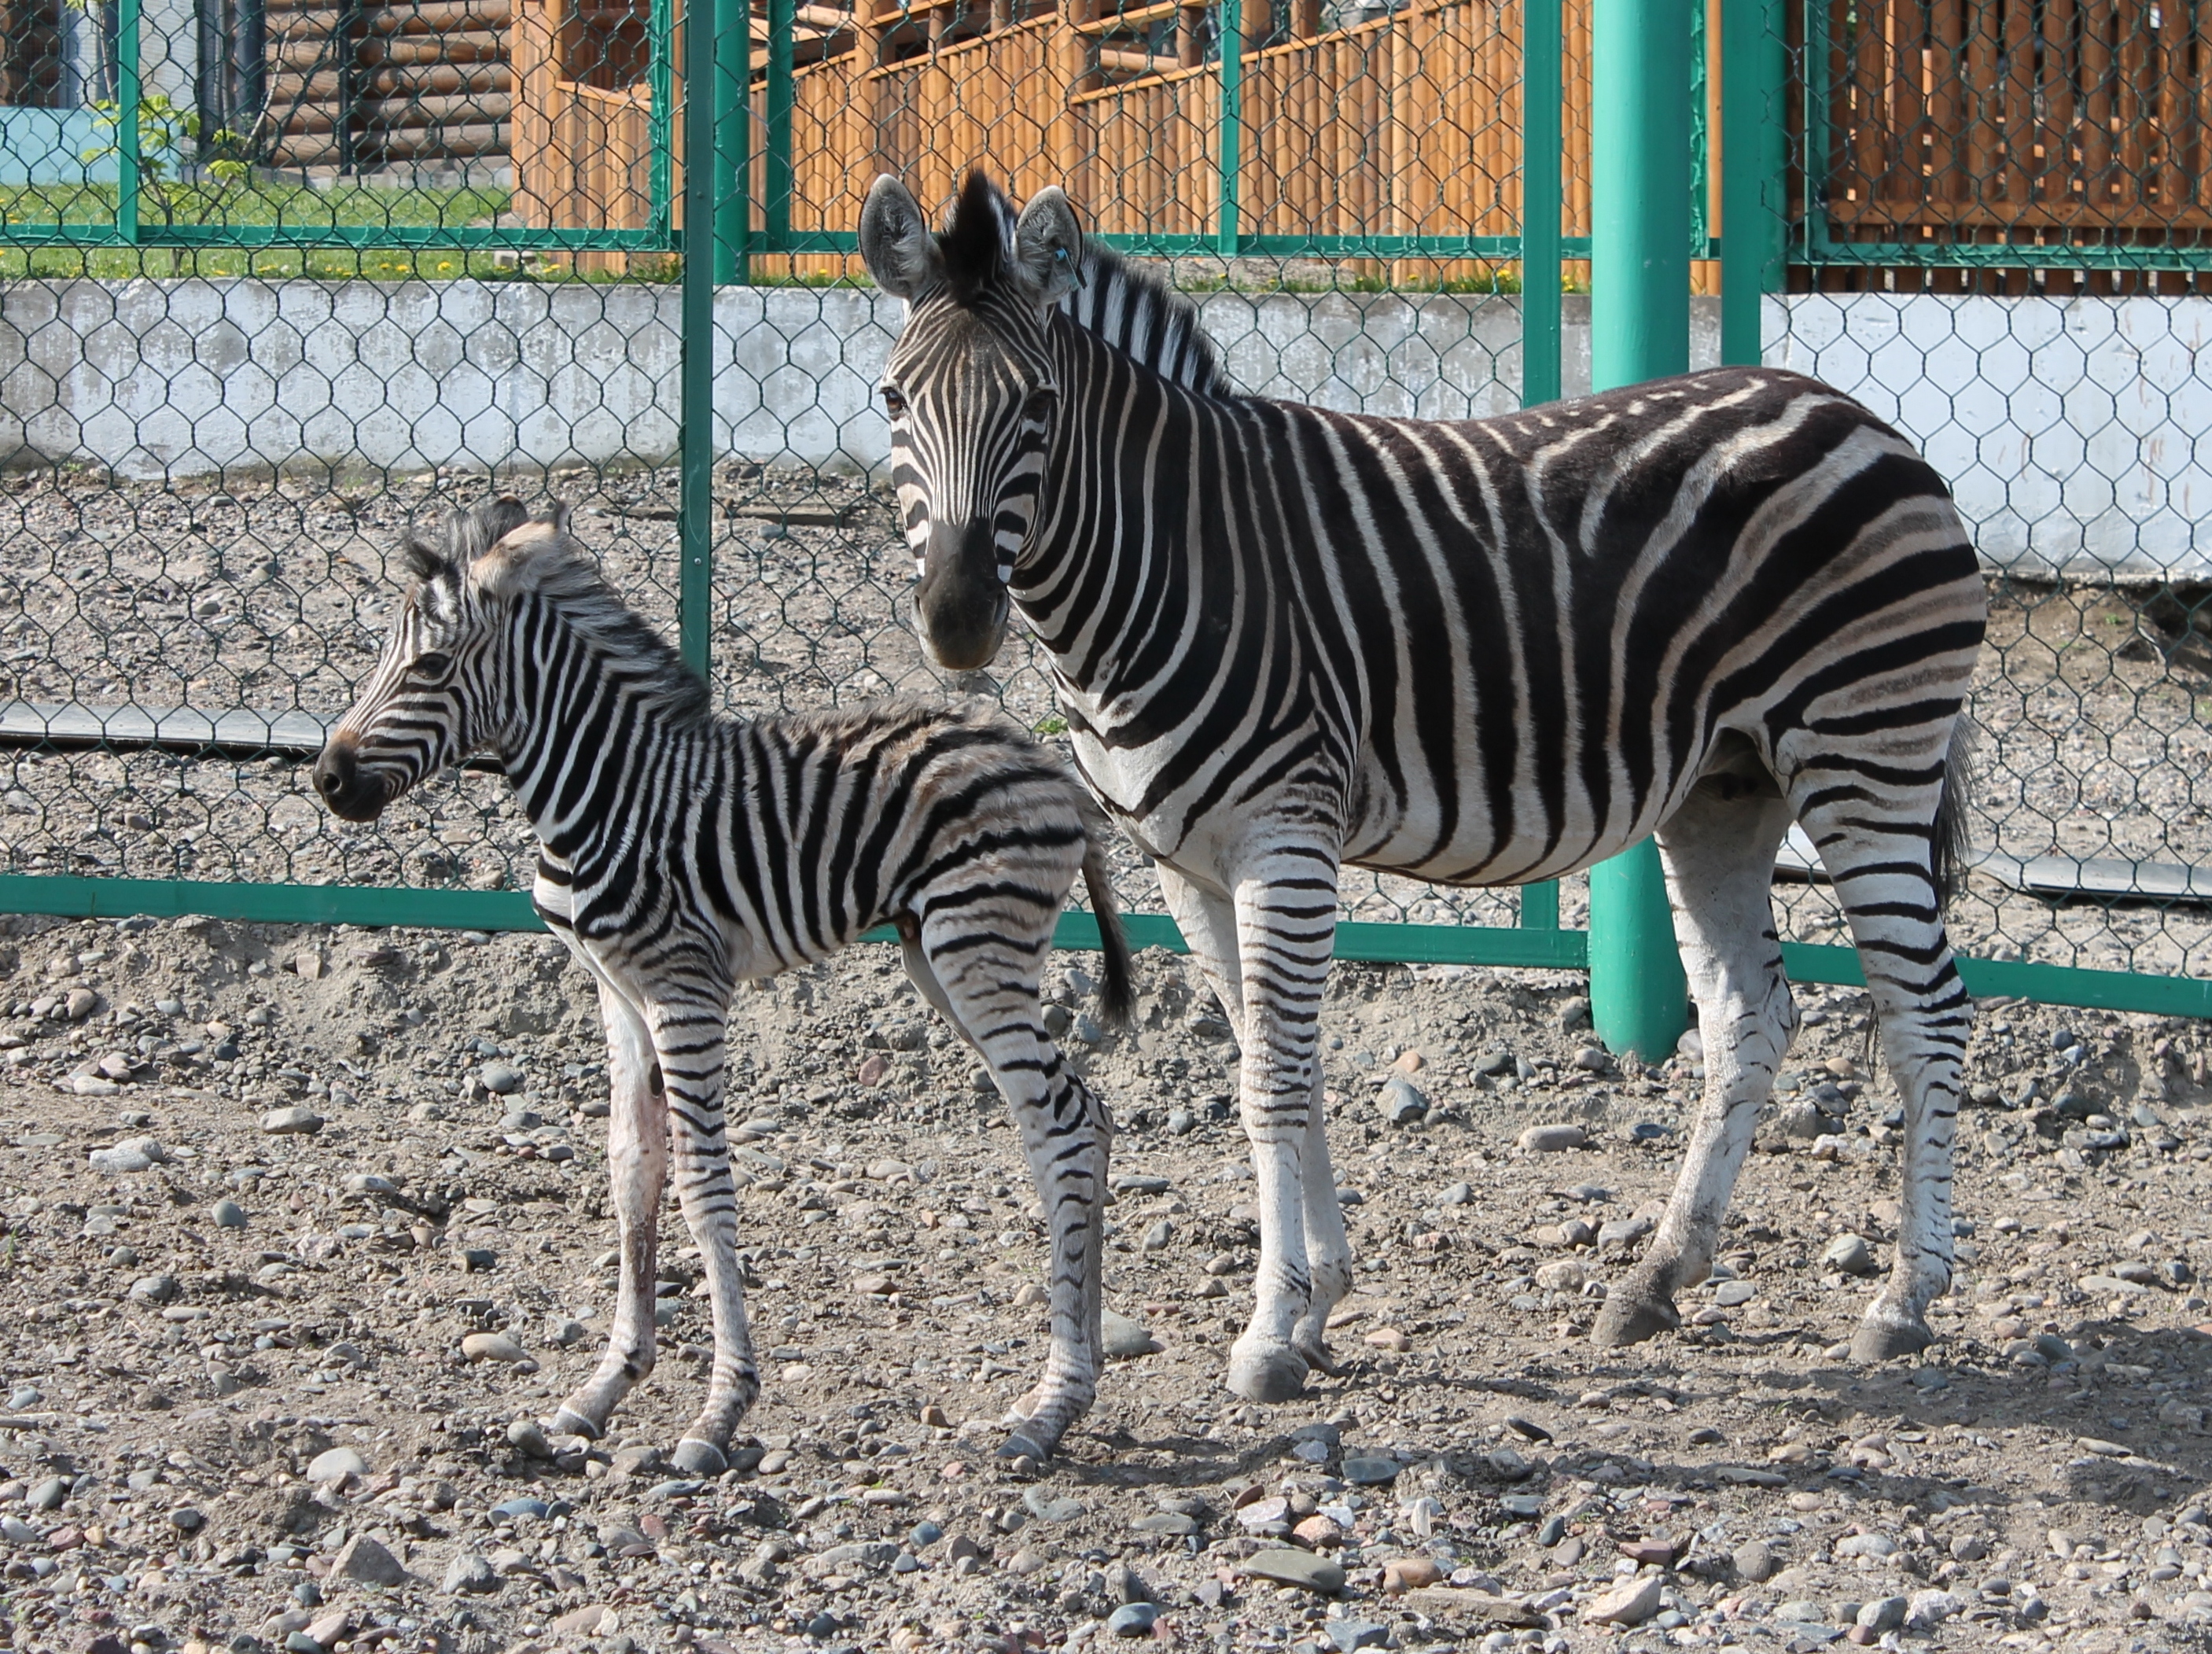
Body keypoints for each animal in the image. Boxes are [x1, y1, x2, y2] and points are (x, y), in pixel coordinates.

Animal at [311, 497, 1132, 1468]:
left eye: (431, 665)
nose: (327, 779)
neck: (603, 791)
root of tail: (1052, 771)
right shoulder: (618, 994)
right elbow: (632, 1173)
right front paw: (603, 1390)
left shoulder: (685, 990)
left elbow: (702, 1184)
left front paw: (719, 1410)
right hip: (935, 955)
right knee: (1079, 1117)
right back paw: (1070, 1383)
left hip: (978, 949)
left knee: (1061, 1128)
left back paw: (1053, 1406)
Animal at [858, 171, 1990, 1397]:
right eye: (890, 399)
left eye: (1040, 404)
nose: (956, 620)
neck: (1172, 556)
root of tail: (1850, 408)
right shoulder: (1184, 863)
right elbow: (1271, 1063)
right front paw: (1317, 1300)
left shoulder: (1286, 840)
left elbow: (1272, 1082)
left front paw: (1269, 1331)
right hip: (1723, 787)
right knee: (1749, 1018)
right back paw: (1655, 1279)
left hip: (1864, 751)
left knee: (1925, 1010)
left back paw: (1904, 1299)